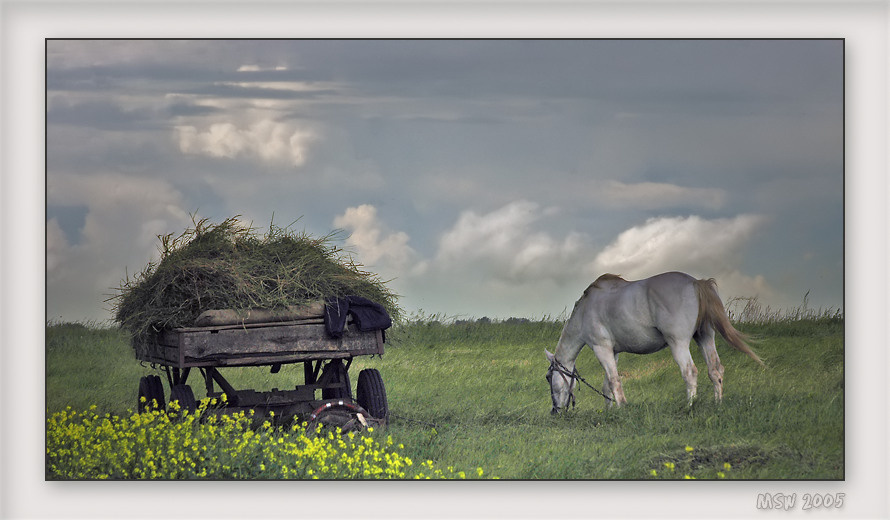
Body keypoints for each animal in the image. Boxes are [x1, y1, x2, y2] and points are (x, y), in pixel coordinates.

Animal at [545, 271, 763, 413]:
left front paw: (621, 407)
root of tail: (696, 283)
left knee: (690, 372)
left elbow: (614, 380)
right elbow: (607, 383)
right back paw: (718, 403)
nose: (555, 411)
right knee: (715, 371)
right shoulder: (613, 352)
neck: (585, 310)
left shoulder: (602, 348)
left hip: (678, 344)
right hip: (705, 338)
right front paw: (609, 411)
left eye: (548, 378)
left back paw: (689, 406)